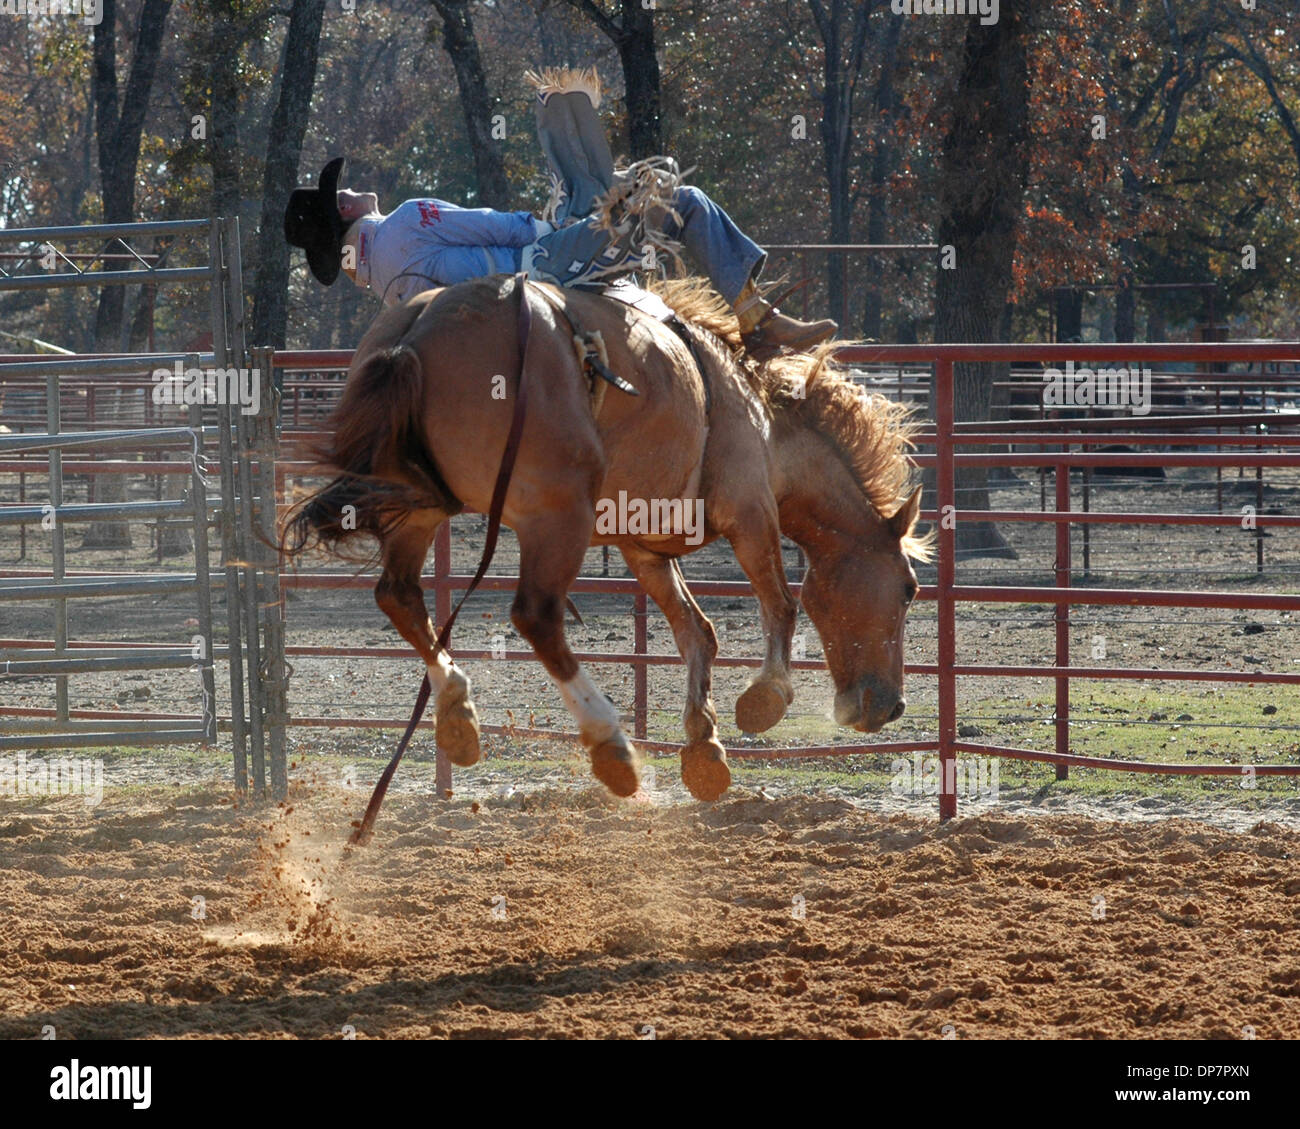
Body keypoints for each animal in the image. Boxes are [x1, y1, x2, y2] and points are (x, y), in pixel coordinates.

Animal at [287, 273, 925, 801]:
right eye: (909, 589)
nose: (891, 707)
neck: (765, 424)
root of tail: (416, 333)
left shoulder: (643, 547)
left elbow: (698, 632)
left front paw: (705, 749)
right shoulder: (749, 511)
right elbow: (780, 601)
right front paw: (764, 699)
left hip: (415, 504)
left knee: (398, 595)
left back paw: (458, 714)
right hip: (556, 513)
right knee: (536, 616)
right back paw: (609, 745)